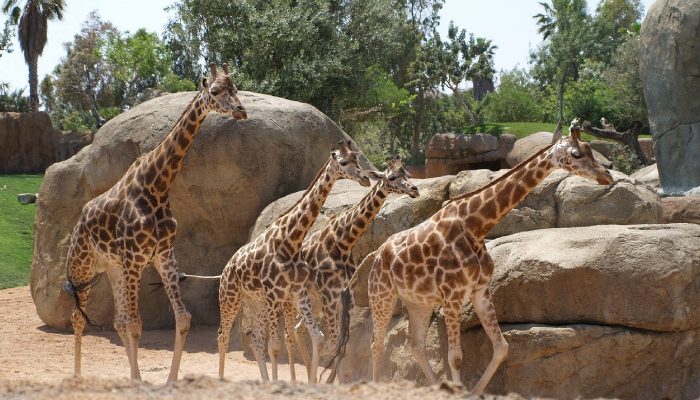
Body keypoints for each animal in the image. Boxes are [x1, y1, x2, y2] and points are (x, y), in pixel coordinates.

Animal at [63, 64, 249, 382]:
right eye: (214, 91)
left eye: (236, 88)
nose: (241, 110)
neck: (158, 186)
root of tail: (77, 225)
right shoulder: (135, 260)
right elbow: (136, 324)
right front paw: (139, 379)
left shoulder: (163, 256)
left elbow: (182, 318)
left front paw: (168, 379)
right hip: (82, 267)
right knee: (79, 316)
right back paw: (76, 377)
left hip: (113, 269)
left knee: (117, 320)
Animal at [217, 141, 372, 384]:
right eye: (344, 161)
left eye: (357, 158)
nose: (365, 178)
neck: (290, 242)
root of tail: (226, 268)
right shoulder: (274, 294)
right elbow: (275, 347)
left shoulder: (296, 292)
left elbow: (316, 338)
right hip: (230, 298)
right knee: (223, 336)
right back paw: (221, 379)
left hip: (255, 302)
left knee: (256, 340)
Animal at [292, 155, 418, 378]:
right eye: (392, 177)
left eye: (408, 174)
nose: (414, 189)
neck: (343, 241)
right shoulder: (329, 294)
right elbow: (336, 342)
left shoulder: (344, 295)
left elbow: (344, 345)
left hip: (313, 301)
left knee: (298, 328)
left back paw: (309, 376)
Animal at [334, 119, 612, 394]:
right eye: (576, 154)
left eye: (590, 149)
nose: (607, 174)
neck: (476, 227)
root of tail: (377, 253)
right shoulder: (453, 295)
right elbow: (456, 357)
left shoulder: (480, 290)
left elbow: (501, 348)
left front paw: (472, 391)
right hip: (382, 295)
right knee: (377, 343)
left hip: (418, 302)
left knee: (416, 345)